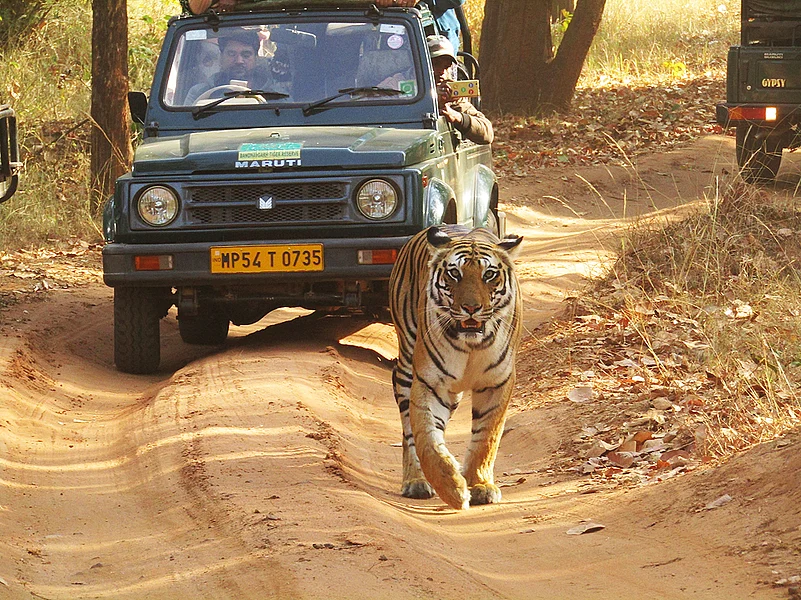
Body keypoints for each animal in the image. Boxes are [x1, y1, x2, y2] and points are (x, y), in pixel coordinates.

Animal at [388, 224, 523, 510]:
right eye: (454, 274)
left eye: (489, 274)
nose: (471, 308)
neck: (471, 344)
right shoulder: (430, 382)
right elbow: (427, 439)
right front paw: (451, 488)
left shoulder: (497, 382)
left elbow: (487, 437)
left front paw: (480, 485)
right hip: (406, 364)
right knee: (409, 431)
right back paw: (415, 481)